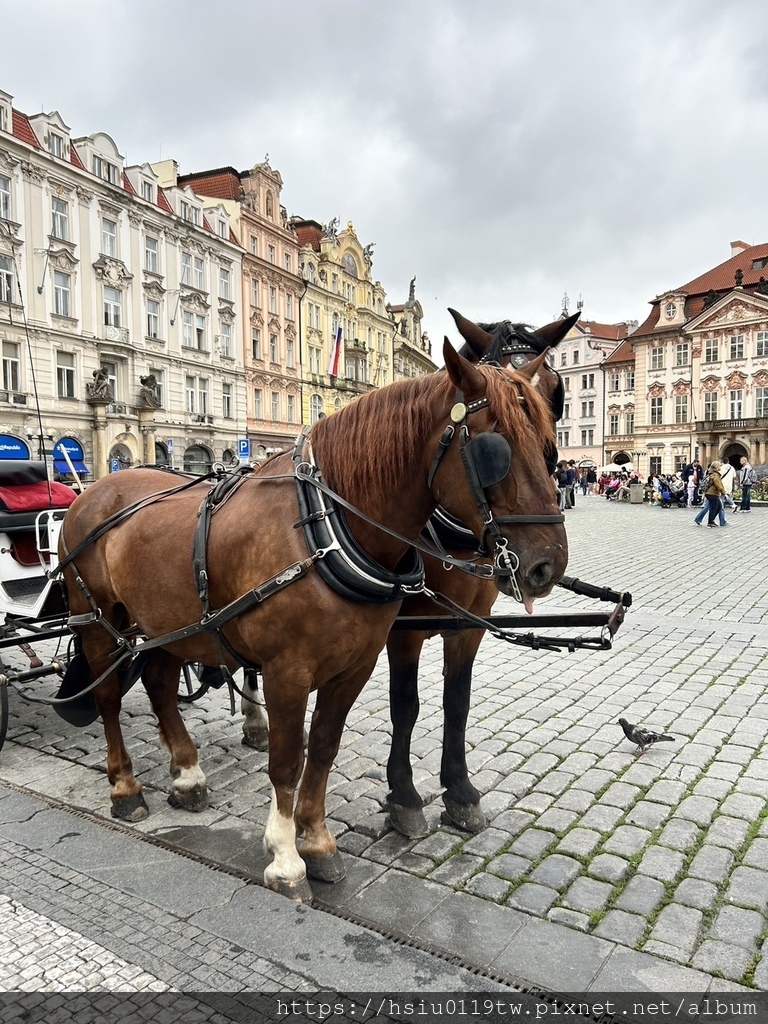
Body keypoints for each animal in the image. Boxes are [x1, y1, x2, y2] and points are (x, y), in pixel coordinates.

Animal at [60, 339, 569, 901]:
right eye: (493, 452)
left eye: (549, 445)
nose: (548, 564)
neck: (322, 525)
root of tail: (98, 485)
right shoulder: (288, 671)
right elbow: (287, 759)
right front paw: (285, 857)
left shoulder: (357, 664)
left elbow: (323, 748)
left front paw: (318, 840)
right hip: (96, 620)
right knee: (109, 698)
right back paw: (125, 787)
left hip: (167, 625)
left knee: (158, 684)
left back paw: (188, 775)